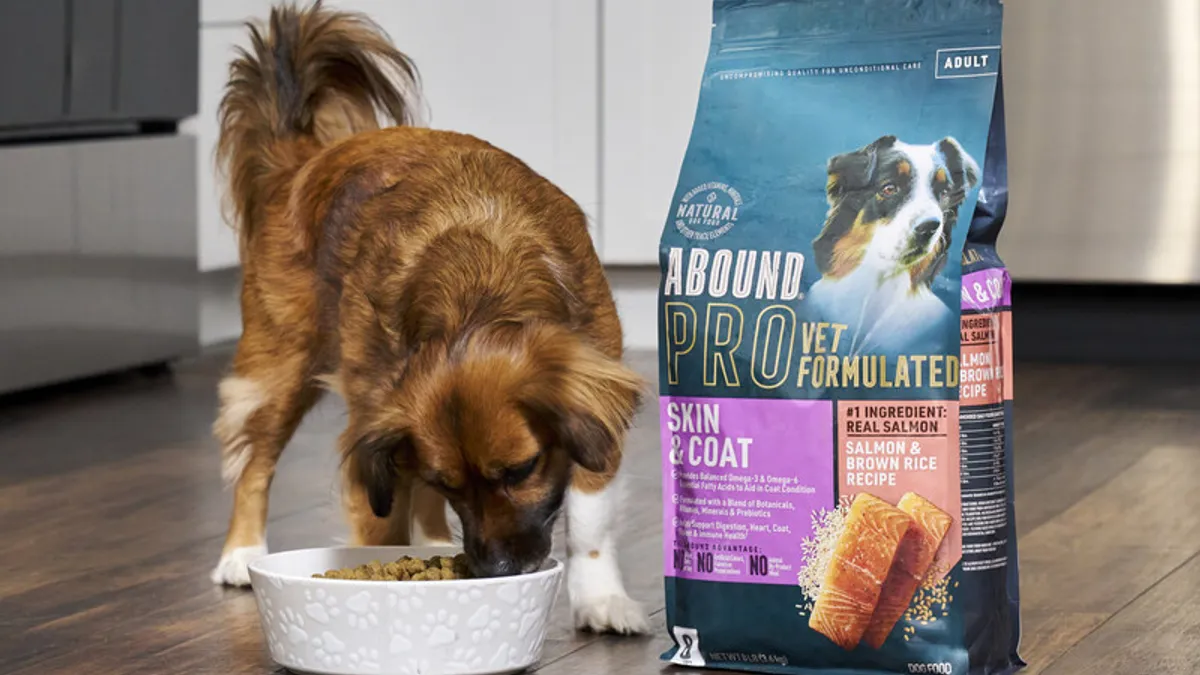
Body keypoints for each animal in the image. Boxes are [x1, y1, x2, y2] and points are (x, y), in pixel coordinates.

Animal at [211, 1, 652, 629]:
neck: (479, 287)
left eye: (521, 471)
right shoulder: (374, 435)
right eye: (451, 483)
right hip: (280, 366)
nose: (495, 571)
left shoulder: (593, 403)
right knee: (254, 460)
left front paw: (600, 600)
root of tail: (303, 160)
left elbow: (589, 519)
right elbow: (380, 524)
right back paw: (240, 553)